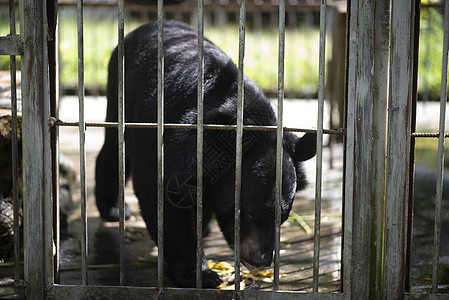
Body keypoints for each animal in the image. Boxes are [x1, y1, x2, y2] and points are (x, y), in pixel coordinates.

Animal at [95, 21, 316, 288]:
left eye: (282, 216)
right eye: (247, 213)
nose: (260, 260)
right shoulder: (170, 137)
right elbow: (162, 196)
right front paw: (200, 274)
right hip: (119, 92)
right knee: (113, 153)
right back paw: (113, 209)